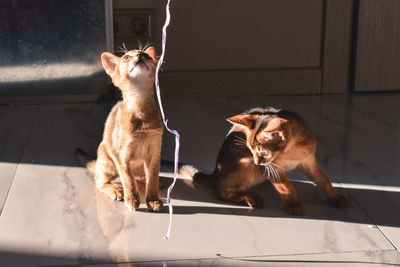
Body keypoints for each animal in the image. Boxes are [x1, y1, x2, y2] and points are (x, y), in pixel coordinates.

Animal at [76, 46, 163, 214]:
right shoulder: (121, 154)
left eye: (147, 55)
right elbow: (127, 179)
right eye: (126, 57)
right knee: (99, 181)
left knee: (142, 175)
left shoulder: (155, 151)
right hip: (107, 161)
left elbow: (152, 177)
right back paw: (116, 190)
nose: (140, 55)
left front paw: (153, 199)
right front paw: (132, 199)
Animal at [181, 107, 350, 216]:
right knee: (222, 191)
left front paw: (335, 198)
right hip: (247, 165)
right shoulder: (270, 168)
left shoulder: (308, 162)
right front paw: (293, 204)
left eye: (262, 153)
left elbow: (323, 180)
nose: (258, 162)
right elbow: (285, 186)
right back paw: (251, 198)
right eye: (250, 149)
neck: (291, 151)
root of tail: (215, 173)